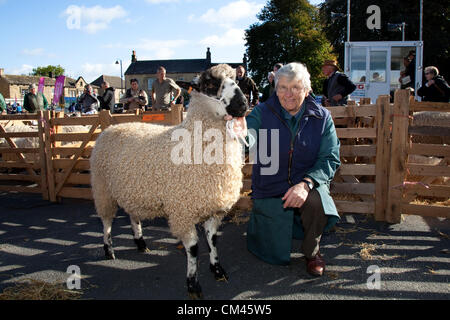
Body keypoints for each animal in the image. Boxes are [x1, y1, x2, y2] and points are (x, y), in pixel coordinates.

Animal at [89, 63, 248, 298]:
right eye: (210, 84)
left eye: (235, 79)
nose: (243, 104)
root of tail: (109, 128)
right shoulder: (183, 211)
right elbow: (193, 248)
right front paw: (193, 284)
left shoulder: (214, 208)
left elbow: (213, 240)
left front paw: (218, 270)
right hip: (102, 189)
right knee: (107, 221)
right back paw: (109, 250)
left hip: (132, 189)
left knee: (133, 215)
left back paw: (140, 243)